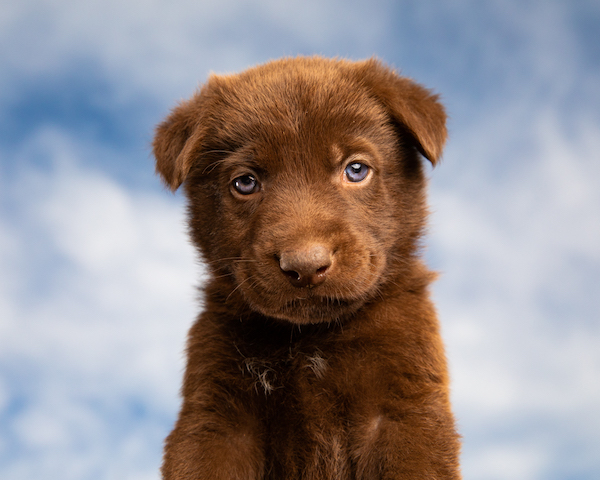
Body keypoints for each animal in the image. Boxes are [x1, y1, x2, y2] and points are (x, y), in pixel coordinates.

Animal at [154, 57, 460, 480]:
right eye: (245, 182)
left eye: (356, 169)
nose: (306, 265)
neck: (312, 337)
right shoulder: (216, 416)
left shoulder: (405, 409)